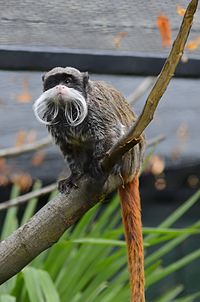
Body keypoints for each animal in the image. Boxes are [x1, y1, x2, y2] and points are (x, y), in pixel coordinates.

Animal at [32, 66, 145, 302]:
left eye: (68, 81)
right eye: (55, 81)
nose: (60, 87)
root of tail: (135, 169)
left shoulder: (97, 112)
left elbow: (110, 133)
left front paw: (97, 164)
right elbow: (71, 151)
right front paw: (73, 177)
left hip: (131, 155)